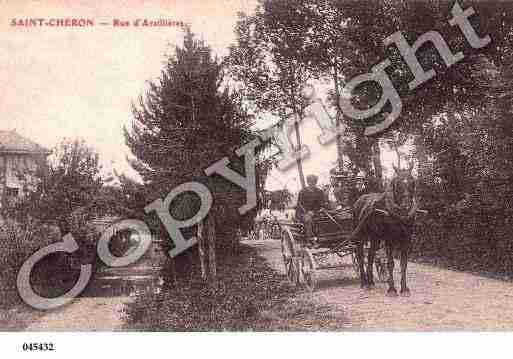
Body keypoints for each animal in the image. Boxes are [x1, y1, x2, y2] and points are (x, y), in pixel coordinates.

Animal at [350, 165, 418, 296]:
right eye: (397, 184)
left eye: (413, 182)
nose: (406, 206)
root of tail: (358, 201)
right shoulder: (389, 240)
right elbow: (390, 263)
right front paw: (391, 289)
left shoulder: (406, 239)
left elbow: (403, 264)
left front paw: (404, 289)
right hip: (360, 237)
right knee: (360, 257)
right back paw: (364, 282)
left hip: (375, 238)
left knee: (370, 256)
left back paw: (371, 282)